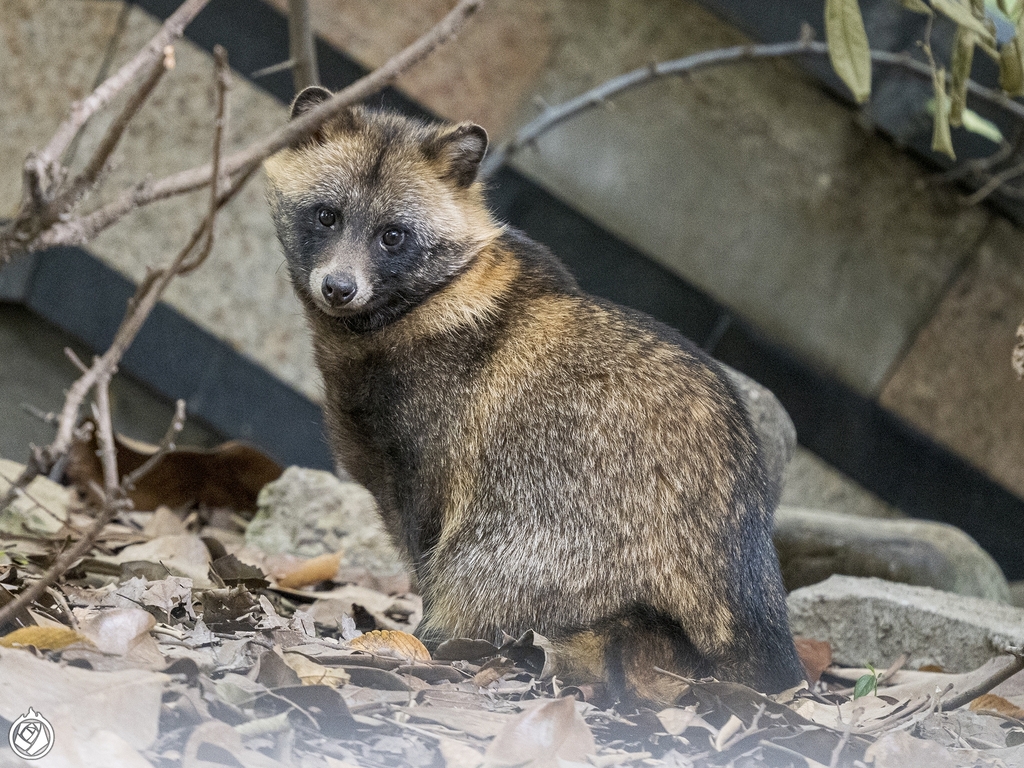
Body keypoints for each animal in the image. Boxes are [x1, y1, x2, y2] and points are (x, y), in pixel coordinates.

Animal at [266, 87, 806, 708]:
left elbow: (429, 561)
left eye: (393, 235)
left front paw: (419, 634)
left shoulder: (433, 473)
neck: (426, 303)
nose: (339, 288)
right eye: (327, 215)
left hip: (541, 534)